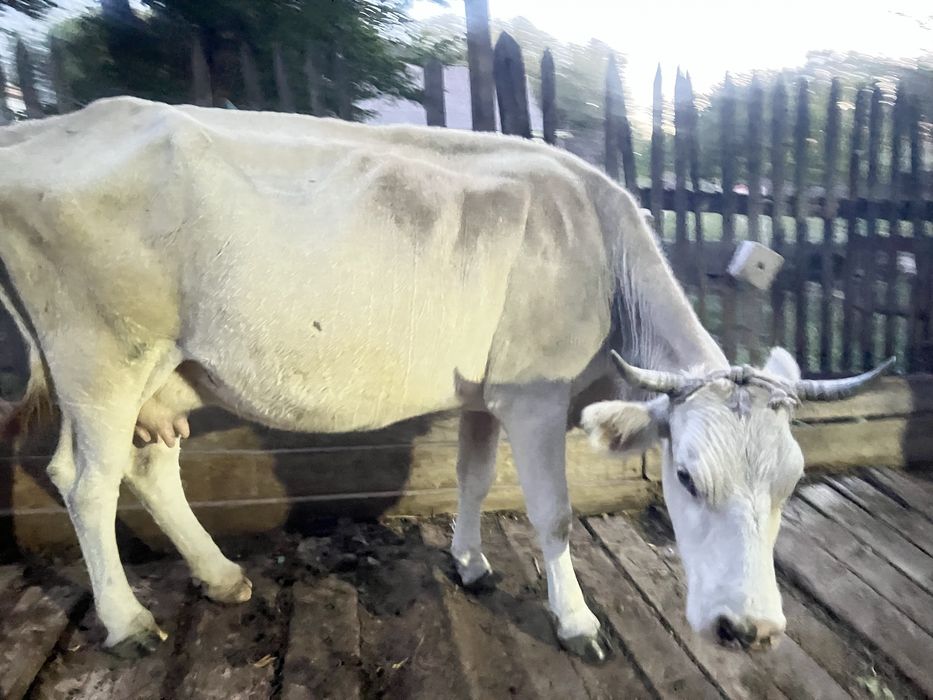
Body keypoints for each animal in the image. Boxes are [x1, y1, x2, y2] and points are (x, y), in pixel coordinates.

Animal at [0, 97, 891, 662]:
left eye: (789, 483)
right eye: (684, 478)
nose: (750, 630)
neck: (602, 247)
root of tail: (42, 129)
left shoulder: (485, 393)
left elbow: (470, 477)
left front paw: (468, 563)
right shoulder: (534, 393)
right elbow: (553, 513)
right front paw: (575, 621)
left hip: (171, 366)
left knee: (150, 463)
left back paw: (219, 576)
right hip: (100, 355)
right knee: (84, 480)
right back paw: (127, 621)